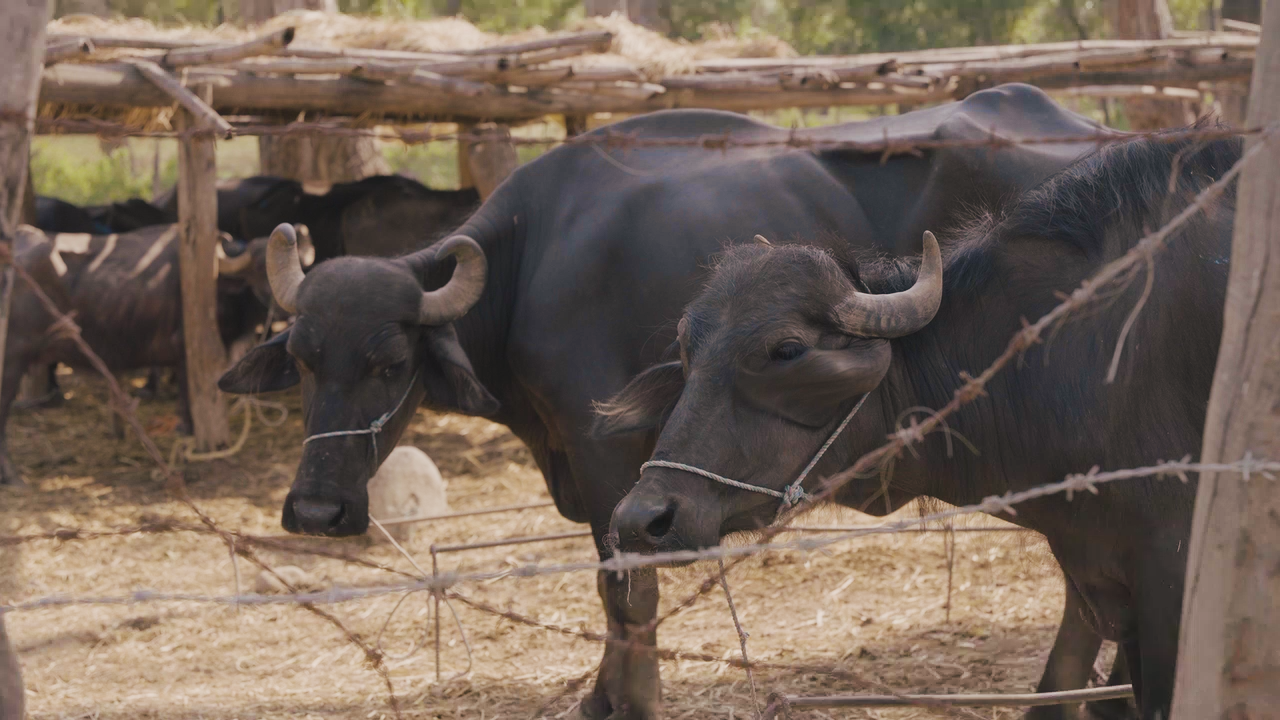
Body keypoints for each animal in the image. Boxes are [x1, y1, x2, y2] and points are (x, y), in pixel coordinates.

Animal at [1, 224, 267, 481]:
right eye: (260, 268)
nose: (269, 297)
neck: (219, 283)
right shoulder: (184, 352)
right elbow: (187, 401)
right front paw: (187, 438)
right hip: (13, 357)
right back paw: (12, 475)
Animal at [222, 85, 1131, 717]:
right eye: (302, 359)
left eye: (387, 361)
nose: (315, 510)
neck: (535, 261)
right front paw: (602, 694)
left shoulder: (608, 458)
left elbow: (627, 587)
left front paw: (632, 700)